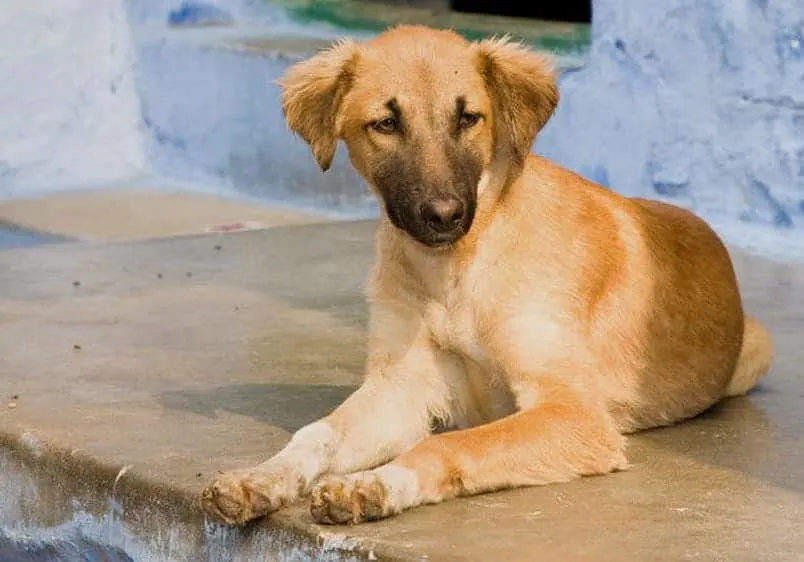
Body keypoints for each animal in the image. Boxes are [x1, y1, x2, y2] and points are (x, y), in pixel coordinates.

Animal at [199, 25, 772, 524]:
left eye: (468, 118)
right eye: (385, 123)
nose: (445, 215)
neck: (456, 271)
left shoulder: (574, 412)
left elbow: (450, 441)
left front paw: (377, 484)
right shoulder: (399, 388)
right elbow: (316, 434)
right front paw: (261, 478)